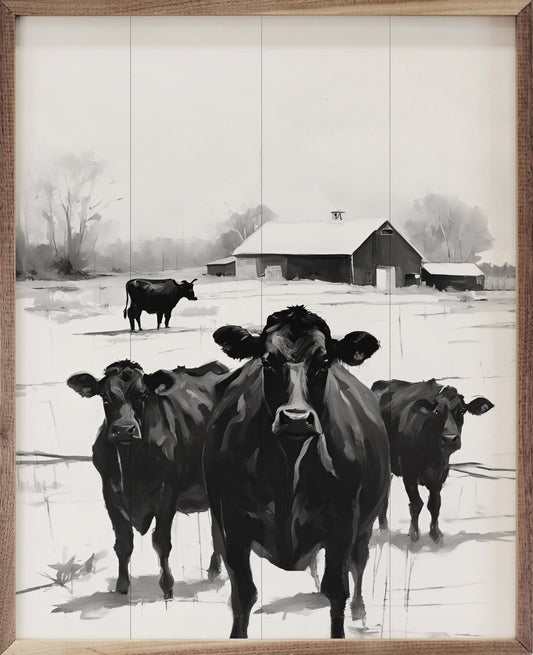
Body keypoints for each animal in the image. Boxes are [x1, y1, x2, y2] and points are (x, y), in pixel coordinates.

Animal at [67, 358, 228, 599]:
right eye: (104, 396)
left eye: (142, 395)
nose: (124, 429)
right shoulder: (110, 496)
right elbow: (123, 543)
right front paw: (122, 586)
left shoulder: (166, 493)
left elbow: (161, 541)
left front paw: (167, 587)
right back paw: (214, 568)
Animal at [204, 305, 390, 638]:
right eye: (267, 360)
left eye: (324, 362)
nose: (296, 418)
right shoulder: (231, 521)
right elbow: (243, 593)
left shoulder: (344, 520)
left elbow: (337, 589)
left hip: (365, 525)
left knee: (358, 563)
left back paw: (360, 612)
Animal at [371, 379, 494, 543]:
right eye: (436, 412)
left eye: (462, 411)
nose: (450, 439)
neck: (432, 456)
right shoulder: (409, 474)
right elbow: (416, 503)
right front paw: (414, 534)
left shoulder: (440, 474)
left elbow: (435, 504)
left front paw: (435, 534)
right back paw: (383, 529)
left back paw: (384, 528)